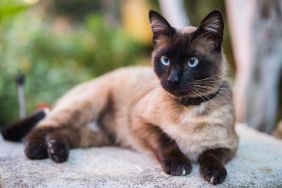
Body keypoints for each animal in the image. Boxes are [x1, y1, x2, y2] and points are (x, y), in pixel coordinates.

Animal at [3, 10, 239, 185]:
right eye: (165, 60)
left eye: (192, 62)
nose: (172, 80)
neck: (189, 108)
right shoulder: (140, 121)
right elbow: (167, 140)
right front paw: (179, 165)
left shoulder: (229, 145)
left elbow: (212, 155)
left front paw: (214, 174)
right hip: (88, 105)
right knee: (42, 126)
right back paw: (37, 150)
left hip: (98, 135)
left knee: (61, 132)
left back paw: (56, 150)